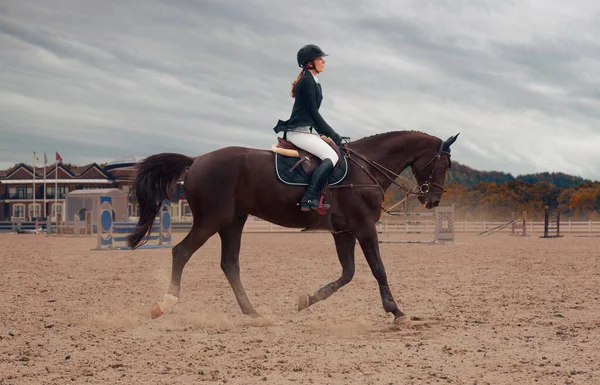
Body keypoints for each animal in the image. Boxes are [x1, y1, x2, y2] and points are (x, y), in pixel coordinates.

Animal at [125, 130, 454, 326]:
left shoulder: (344, 231)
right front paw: (397, 312)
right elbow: (378, 269)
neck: (366, 168)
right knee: (181, 252)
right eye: (444, 164)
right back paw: (165, 304)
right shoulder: (363, 227)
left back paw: (253, 313)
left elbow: (348, 273)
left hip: (233, 221)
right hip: (212, 220)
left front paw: (306, 300)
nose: (434, 200)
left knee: (229, 263)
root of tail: (196, 161)